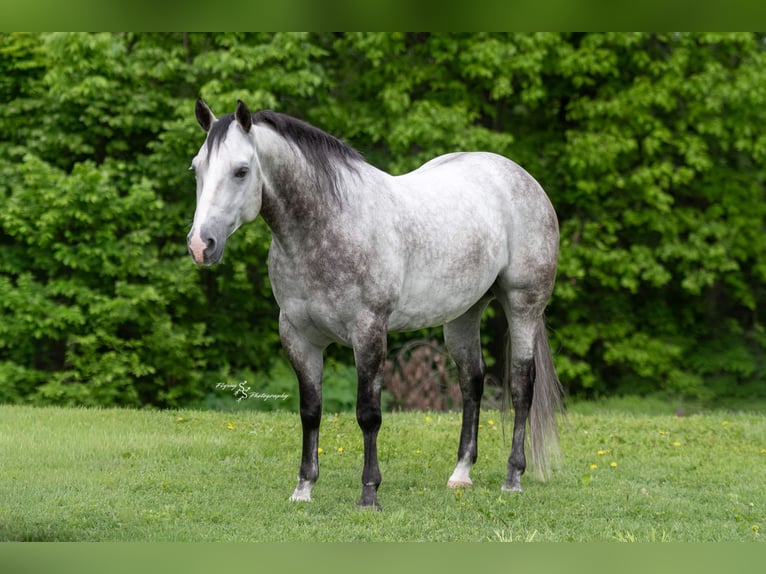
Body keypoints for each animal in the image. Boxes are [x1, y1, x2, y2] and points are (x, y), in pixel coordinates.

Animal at [187, 99, 564, 509]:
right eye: (197, 168)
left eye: (241, 171)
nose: (201, 245)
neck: (328, 226)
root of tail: (520, 177)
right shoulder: (298, 336)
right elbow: (310, 411)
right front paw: (303, 489)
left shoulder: (368, 332)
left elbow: (368, 414)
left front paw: (369, 493)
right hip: (463, 315)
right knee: (472, 382)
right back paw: (461, 474)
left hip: (523, 306)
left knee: (521, 385)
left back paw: (513, 477)